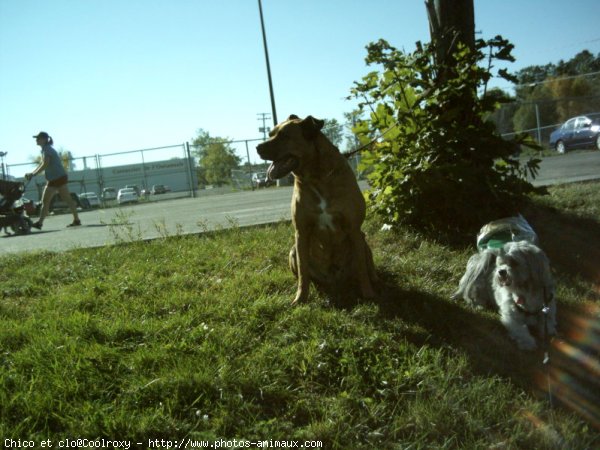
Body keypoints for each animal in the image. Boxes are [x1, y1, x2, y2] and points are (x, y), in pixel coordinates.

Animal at [256, 114, 378, 304]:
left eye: (284, 136)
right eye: (270, 134)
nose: (257, 147)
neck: (317, 178)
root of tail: (334, 280)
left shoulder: (354, 229)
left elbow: (362, 268)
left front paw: (368, 294)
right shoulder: (301, 232)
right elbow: (303, 272)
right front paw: (300, 298)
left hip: (363, 241)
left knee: (367, 266)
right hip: (293, 250)